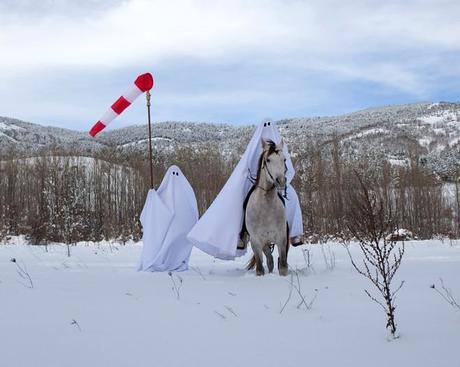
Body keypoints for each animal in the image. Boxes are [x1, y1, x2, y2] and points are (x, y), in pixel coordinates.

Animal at [244, 139, 288, 278]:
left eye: (284, 159)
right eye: (268, 160)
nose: (281, 181)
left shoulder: (281, 238)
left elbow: (283, 266)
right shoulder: (256, 241)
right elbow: (259, 269)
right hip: (264, 244)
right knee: (269, 259)